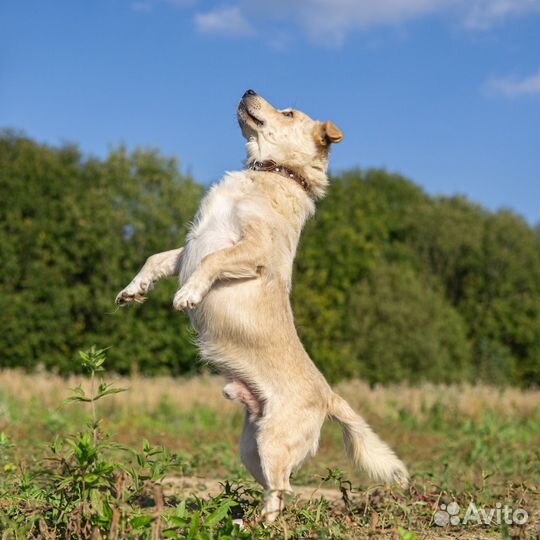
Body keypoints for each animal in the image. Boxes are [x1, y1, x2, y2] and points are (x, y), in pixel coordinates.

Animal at [115, 90, 410, 520]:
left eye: (288, 112)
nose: (248, 90)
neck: (272, 171)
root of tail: (329, 396)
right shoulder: (187, 248)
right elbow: (156, 259)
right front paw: (132, 291)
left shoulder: (250, 249)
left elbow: (211, 261)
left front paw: (187, 295)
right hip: (250, 449)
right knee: (275, 488)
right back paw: (245, 518)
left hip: (272, 442)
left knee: (283, 490)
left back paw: (255, 526)